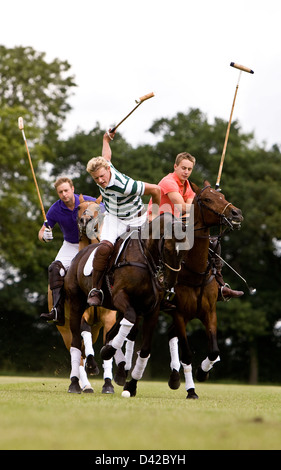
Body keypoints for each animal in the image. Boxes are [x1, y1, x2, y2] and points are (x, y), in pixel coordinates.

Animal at [53, 195, 116, 392]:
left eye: (99, 209)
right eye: (79, 208)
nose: (85, 221)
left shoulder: (109, 318)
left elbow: (108, 347)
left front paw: (108, 385)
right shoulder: (79, 314)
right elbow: (84, 344)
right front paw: (92, 366)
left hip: (96, 327)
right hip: (64, 328)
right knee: (76, 351)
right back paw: (82, 384)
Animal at [64, 212, 189, 392]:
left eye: (185, 251)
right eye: (167, 249)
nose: (169, 283)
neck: (144, 257)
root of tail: (79, 255)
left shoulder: (152, 309)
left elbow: (144, 350)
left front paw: (129, 383)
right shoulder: (119, 297)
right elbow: (128, 320)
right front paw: (108, 353)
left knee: (110, 333)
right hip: (76, 303)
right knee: (75, 342)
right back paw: (75, 383)